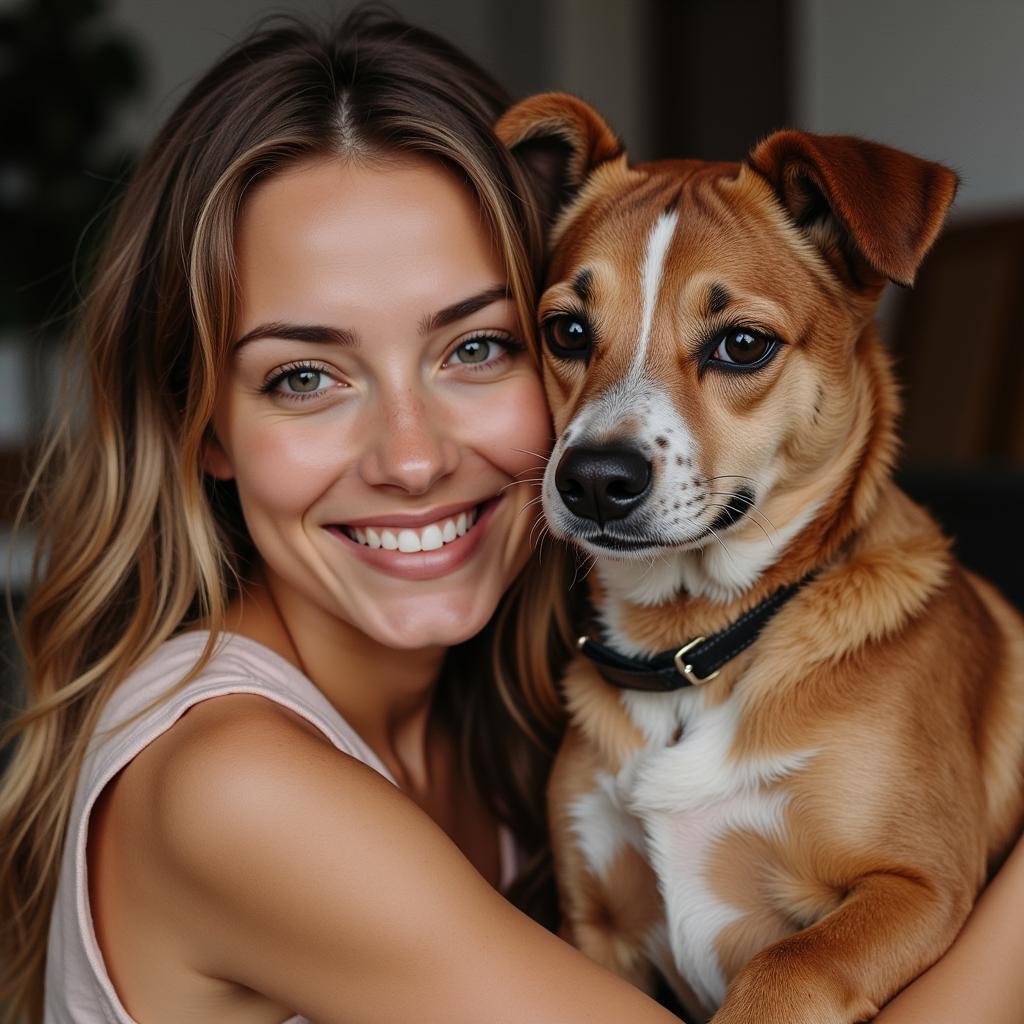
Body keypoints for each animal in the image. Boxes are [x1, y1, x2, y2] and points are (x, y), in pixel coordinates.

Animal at [495, 92, 1024, 1019]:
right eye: (566, 330)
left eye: (741, 345)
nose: (592, 480)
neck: (695, 649)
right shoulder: (596, 927)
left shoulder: (920, 885)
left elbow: (788, 964)